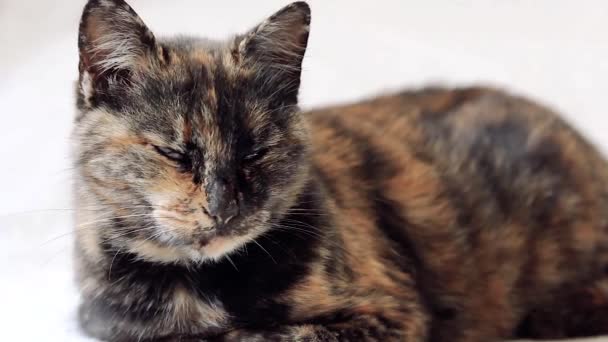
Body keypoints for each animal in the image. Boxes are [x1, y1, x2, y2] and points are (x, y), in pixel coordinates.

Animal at [73, 0, 608, 342]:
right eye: (174, 153)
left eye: (255, 152)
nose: (224, 208)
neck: (197, 286)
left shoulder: (391, 314)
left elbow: (269, 337)